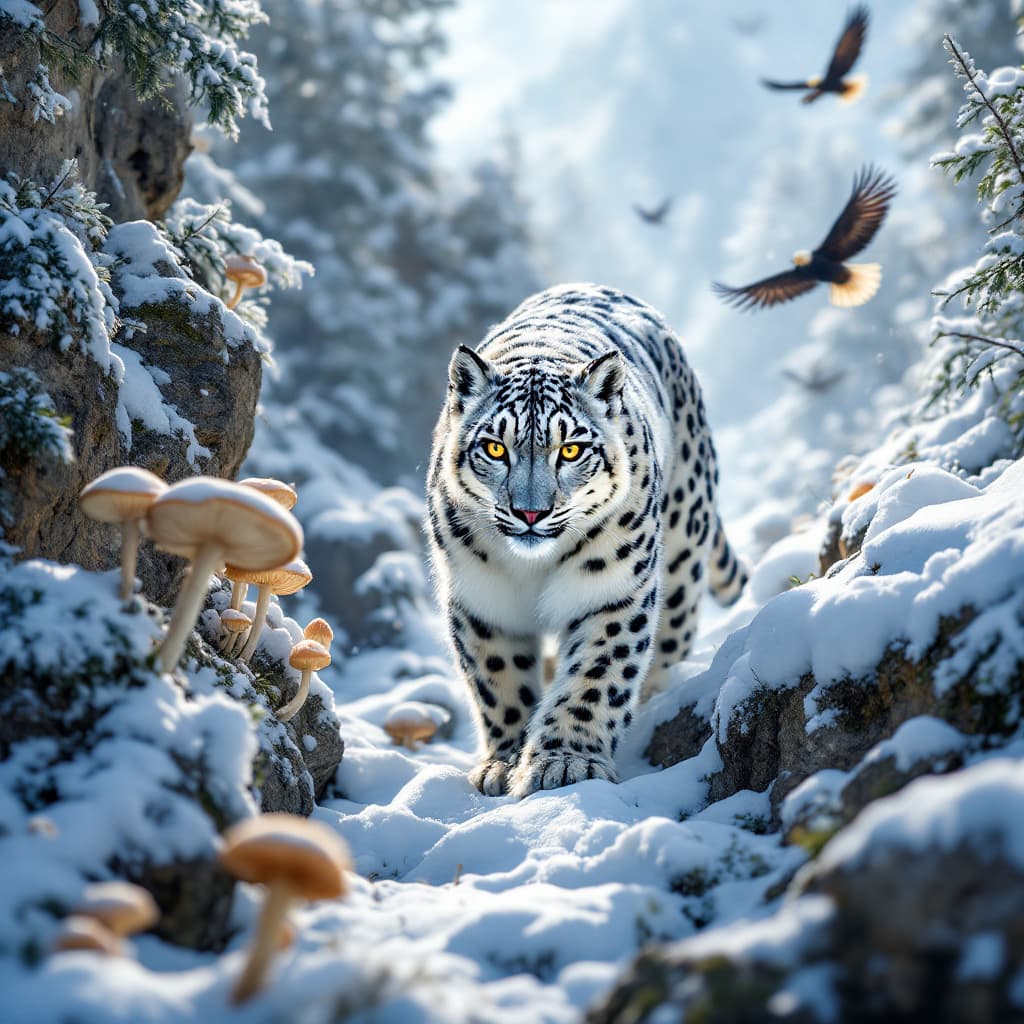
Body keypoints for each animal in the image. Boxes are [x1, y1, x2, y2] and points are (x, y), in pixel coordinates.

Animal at [426, 283, 747, 798]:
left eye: (571, 449)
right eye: (495, 448)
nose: (530, 512)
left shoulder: (611, 590)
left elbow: (595, 675)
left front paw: (565, 763)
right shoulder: (481, 599)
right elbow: (500, 680)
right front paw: (505, 761)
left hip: (683, 543)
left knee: (672, 635)